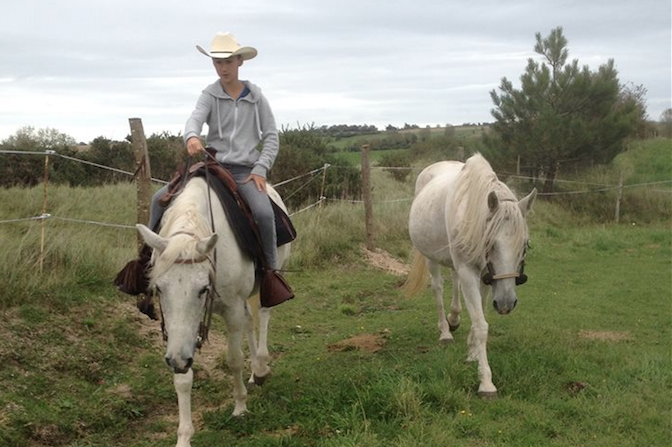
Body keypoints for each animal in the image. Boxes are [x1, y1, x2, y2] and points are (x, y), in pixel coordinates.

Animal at [137, 178, 292, 447]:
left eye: (202, 289)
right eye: (158, 288)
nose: (176, 360)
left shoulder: (231, 310)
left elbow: (234, 359)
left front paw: (240, 407)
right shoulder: (180, 333)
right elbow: (183, 377)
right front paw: (184, 436)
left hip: (268, 279)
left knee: (263, 313)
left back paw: (261, 367)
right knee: (249, 321)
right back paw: (255, 374)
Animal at [404, 155, 536, 400]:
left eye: (525, 245)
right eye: (491, 243)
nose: (506, 303)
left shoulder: (487, 276)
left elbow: (479, 315)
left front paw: (473, 352)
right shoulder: (469, 270)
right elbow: (481, 324)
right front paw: (486, 383)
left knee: (455, 284)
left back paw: (454, 319)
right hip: (431, 258)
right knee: (438, 288)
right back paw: (445, 332)